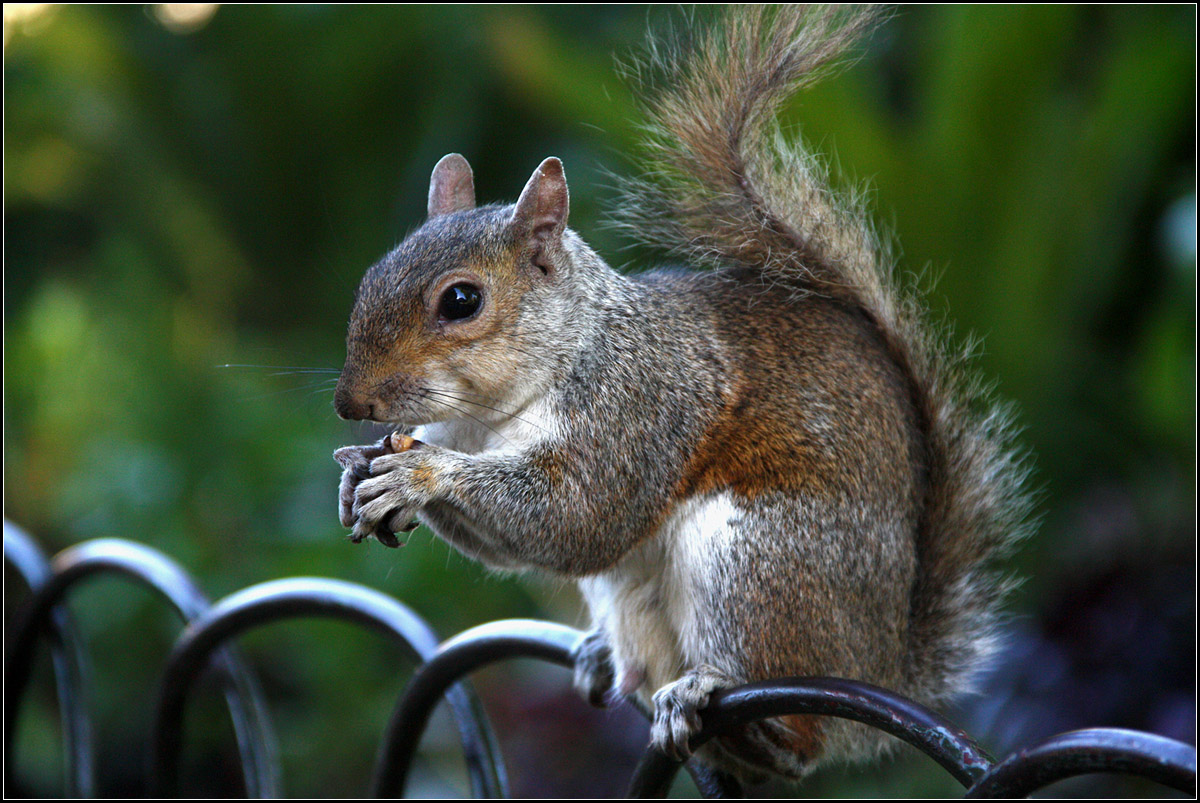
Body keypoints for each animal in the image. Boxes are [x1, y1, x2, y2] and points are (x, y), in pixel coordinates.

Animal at [328, 4, 1032, 782]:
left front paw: (419, 474)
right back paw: (606, 658)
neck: (488, 417)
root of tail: (881, 663)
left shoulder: (638, 405)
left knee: (799, 738)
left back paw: (724, 701)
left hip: (760, 560)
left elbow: (579, 514)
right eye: (370, 275)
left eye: (461, 300)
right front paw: (360, 472)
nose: (351, 405)